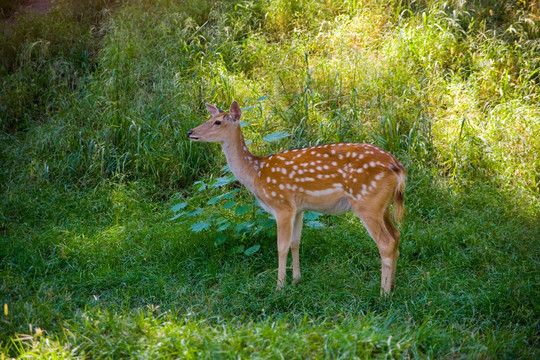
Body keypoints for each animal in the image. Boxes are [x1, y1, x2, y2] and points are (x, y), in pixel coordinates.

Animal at [190, 100, 404, 294]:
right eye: (210, 118)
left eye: (218, 122)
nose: (190, 132)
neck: (256, 173)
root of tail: (398, 168)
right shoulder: (299, 209)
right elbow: (296, 243)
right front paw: (296, 280)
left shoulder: (282, 205)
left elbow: (281, 246)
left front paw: (279, 287)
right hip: (382, 206)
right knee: (396, 235)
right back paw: (393, 285)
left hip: (367, 202)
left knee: (385, 242)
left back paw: (383, 293)